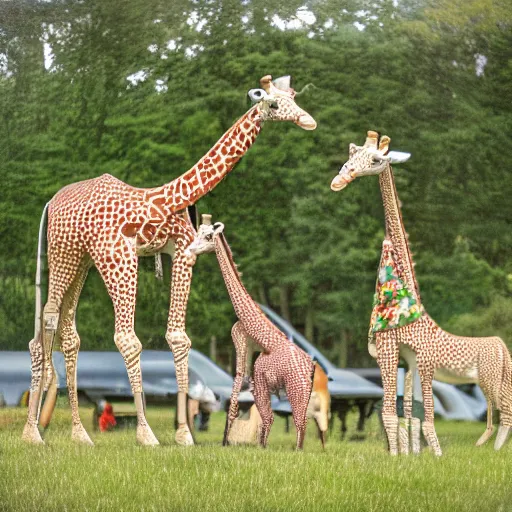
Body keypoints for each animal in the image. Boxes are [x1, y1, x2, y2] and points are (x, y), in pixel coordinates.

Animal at [187, 218, 320, 450]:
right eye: (198, 231)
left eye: (208, 236)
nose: (191, 249)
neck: (261, 336)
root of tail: (311, 367)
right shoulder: (251, 360)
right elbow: (260, 415)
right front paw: (253, 445)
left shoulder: (250, 364)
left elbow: (250, 405)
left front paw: (229, 442)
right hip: (304, 391)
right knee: (303, 422)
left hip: (296, 389)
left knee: (299, 422)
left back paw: (296, 451)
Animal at [330, 131, 510, 456]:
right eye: (351, 153)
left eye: (375, 160)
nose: (339, 180)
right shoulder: (404, 358)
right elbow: (405, 415)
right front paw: (407, 455)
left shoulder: (412, 358)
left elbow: (417, 415)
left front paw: (428, 455)